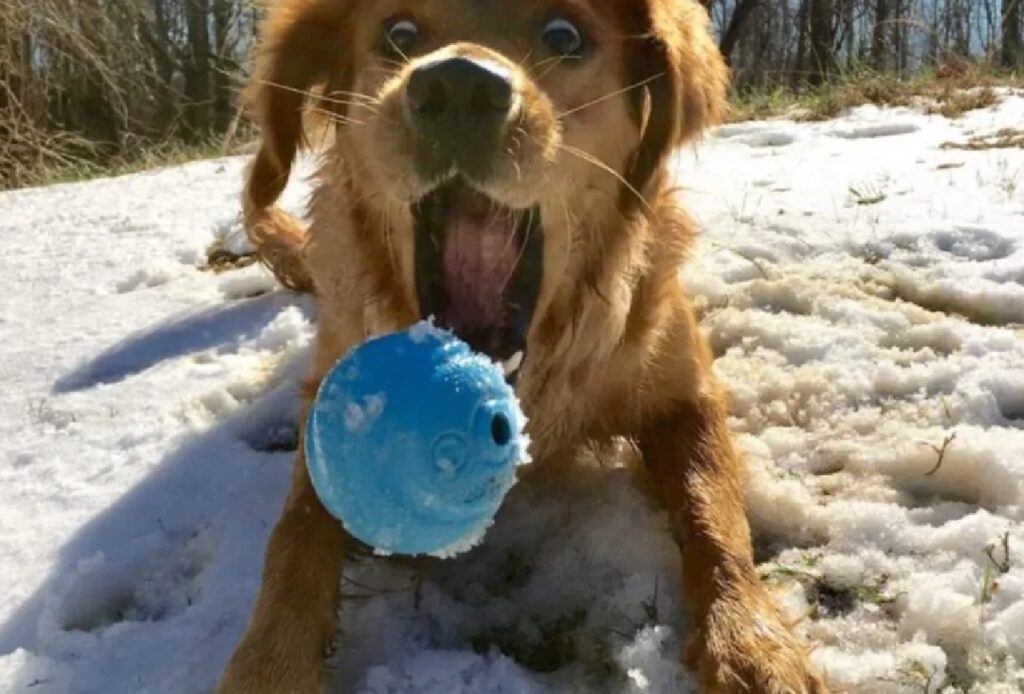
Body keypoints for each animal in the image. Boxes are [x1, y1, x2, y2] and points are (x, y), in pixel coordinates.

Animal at [220, 1, 827, 694]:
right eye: (399, 34)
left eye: (564, 35)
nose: (458, 85)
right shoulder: (329, 406)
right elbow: (296, 534)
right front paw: (269, 661)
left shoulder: (685, 392)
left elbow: (713, 509)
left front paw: (751, 639)